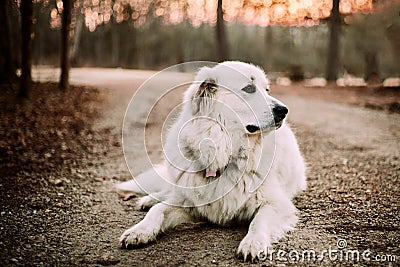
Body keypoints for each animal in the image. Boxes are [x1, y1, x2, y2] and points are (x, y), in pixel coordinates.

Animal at [115, 61, 306, 262]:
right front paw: (140, 230)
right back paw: (149, 199)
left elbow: (259, 222)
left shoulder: (276, 204)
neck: (224, 154)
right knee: (168, 192)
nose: (284, 110)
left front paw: (253, 243)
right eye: (249, 88)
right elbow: (158, 210)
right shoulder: (191, 204)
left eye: (267, 89)